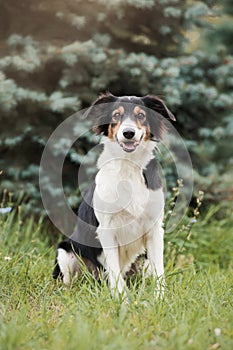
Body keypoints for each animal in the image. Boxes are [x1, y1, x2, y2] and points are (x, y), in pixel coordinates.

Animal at [52, 93, 176, 298]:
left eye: (141, 115)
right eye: (116, 115)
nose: (128, 133)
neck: (128, 166)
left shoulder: (154, 228)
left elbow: (160, 270)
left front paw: (160, 298)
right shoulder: (107, 229)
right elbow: (114, 270)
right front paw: (120, 299)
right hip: (66, 251)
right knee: (69, 281)